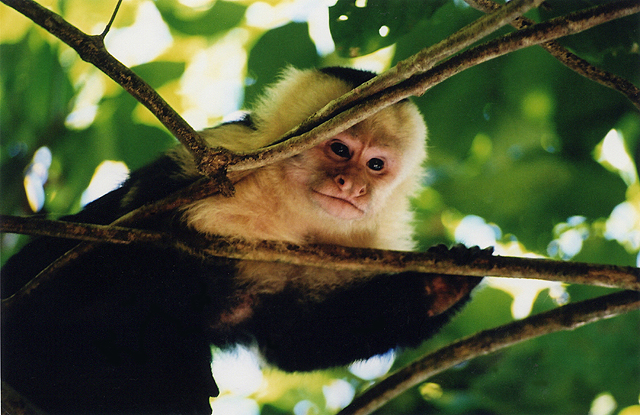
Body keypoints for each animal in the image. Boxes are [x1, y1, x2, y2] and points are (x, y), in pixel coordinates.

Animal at [1, 67, 483, 414]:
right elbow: (129, 251)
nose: (352, 187)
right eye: (341, 150)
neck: (288, 211)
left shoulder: (352, 244)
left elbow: (291, 337)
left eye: (376, 164)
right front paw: (185, 364)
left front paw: (441, 286)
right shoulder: (218, 162)